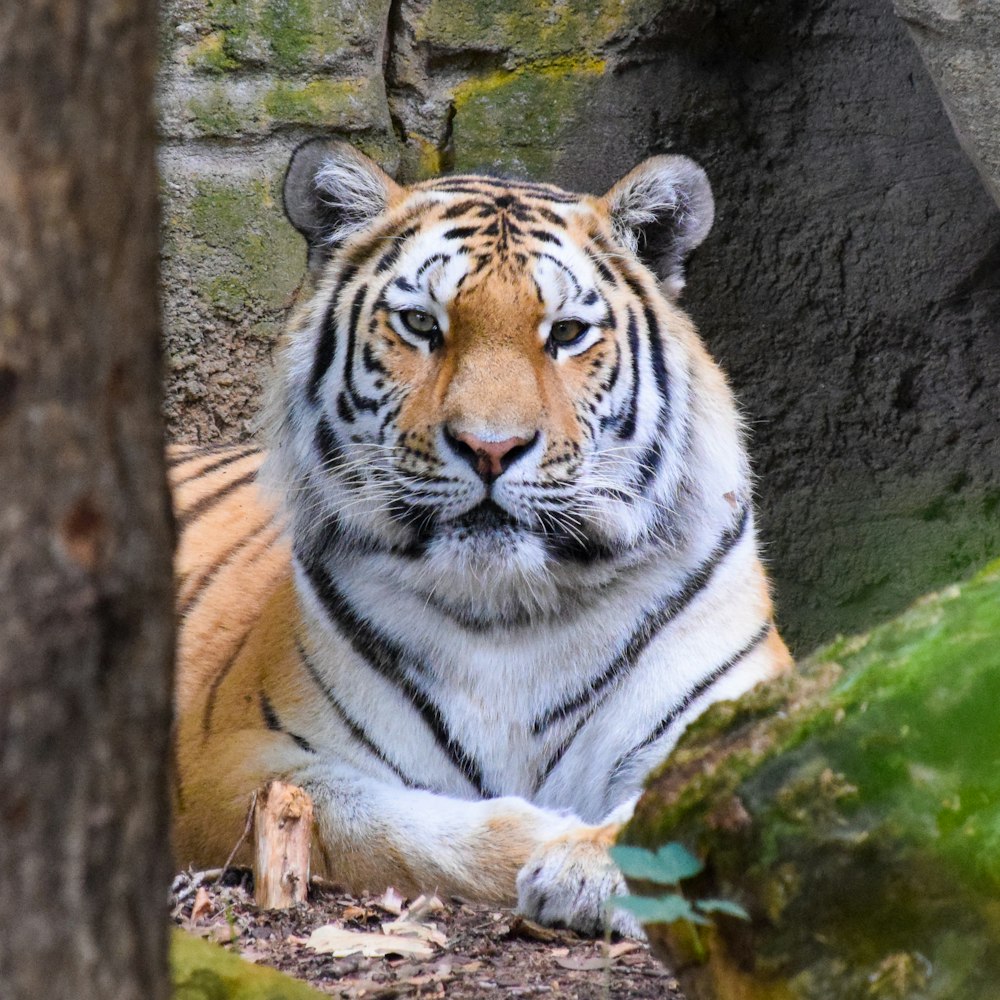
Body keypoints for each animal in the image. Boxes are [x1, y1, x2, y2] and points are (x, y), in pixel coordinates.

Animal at [174, 141, 796, 936]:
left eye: (566, 333)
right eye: (420, 323)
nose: (490, 448)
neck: (513, 611)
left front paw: (592, 865)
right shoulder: (237, 760)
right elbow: (390, 828)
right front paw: (560, 844)